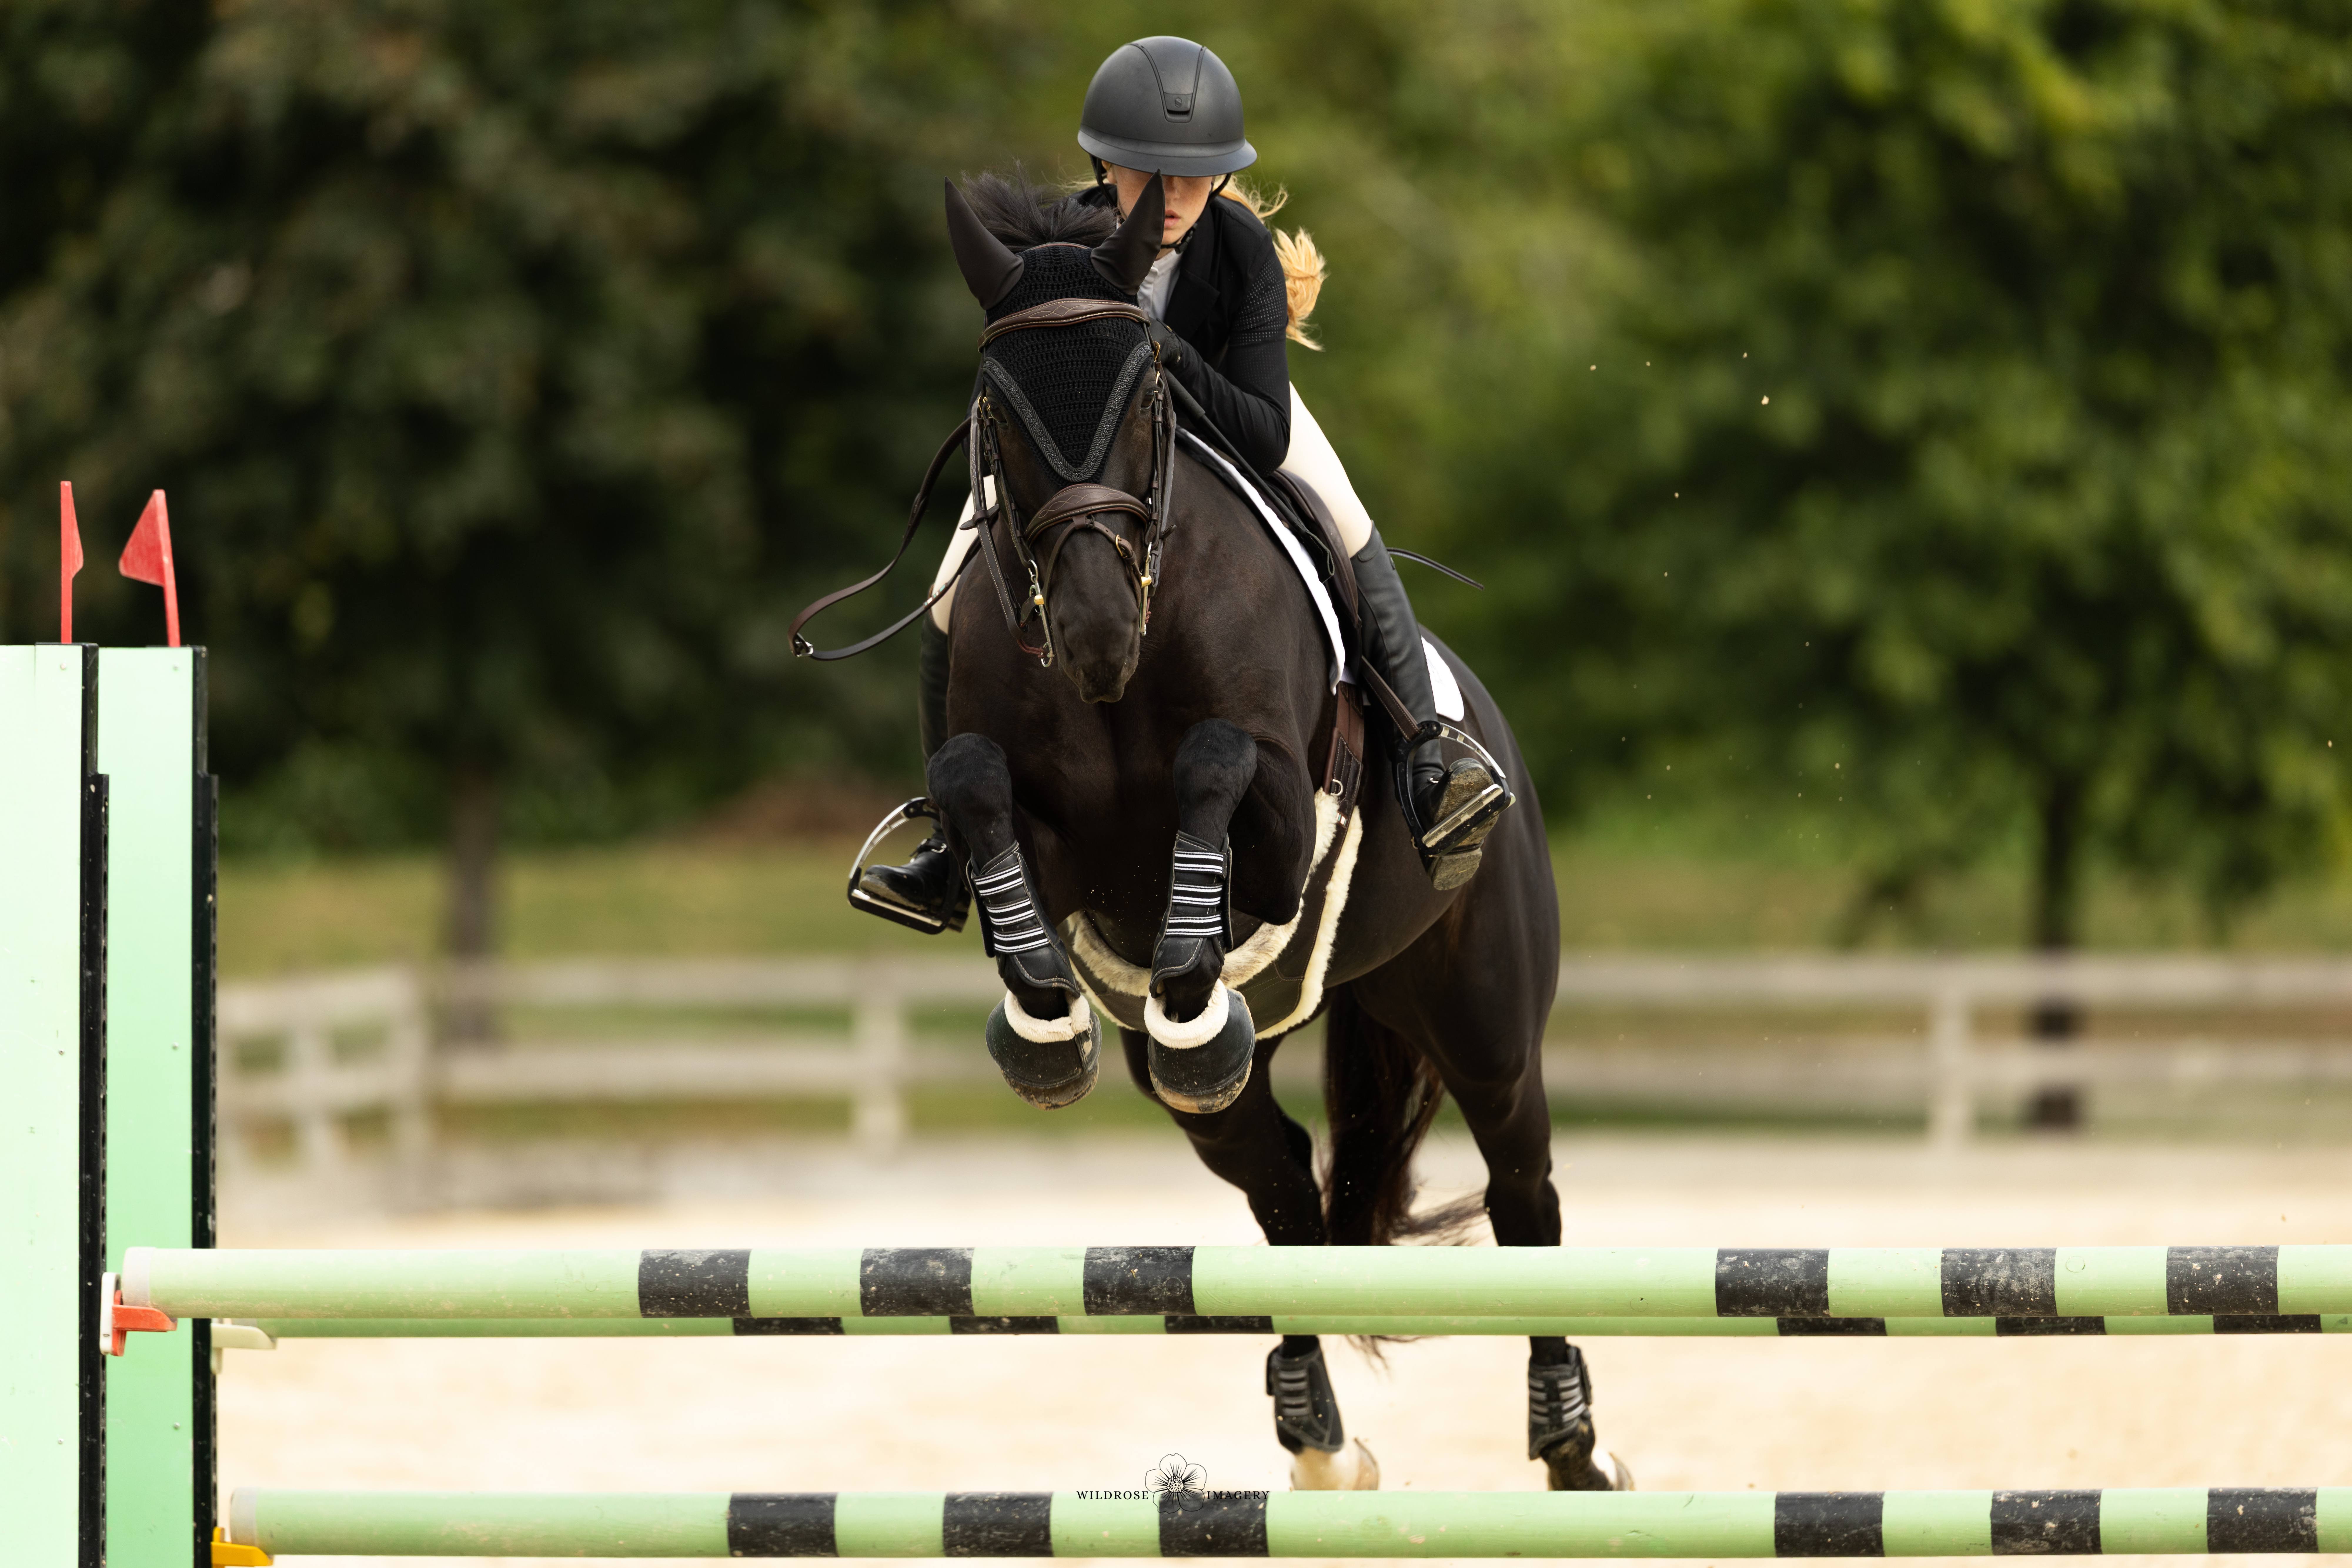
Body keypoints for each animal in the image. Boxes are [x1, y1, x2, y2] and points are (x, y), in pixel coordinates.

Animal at [835, 172, 1625, 1493]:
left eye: (1150, 389)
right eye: (995, 408)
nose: (1096, 632)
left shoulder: (1277, 827)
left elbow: (1212, 764)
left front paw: (1176, 965)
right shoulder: (1067, 854)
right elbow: (976, 786)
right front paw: (1044, 1018)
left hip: (1483, 1017)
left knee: (1523, 1186)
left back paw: (1570, 1444)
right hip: (1229, 1091)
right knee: (1280, 1188)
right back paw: (1317, 1436)